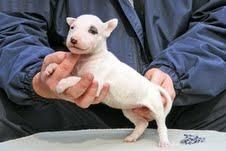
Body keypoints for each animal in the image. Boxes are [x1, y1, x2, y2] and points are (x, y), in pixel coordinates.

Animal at [46, 14, 173, 147]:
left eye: (93, 31)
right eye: (72, 27)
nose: (73, 40)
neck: (88, 58)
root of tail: (153, 86)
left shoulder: (95, 82)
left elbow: (75, 78)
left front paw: (62, 84)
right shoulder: (77, 71)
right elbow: (70, 73)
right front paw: (51, 67)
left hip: (156, 108)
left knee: (161, 125)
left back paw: (164, 141)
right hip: (128, 109)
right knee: (142, 123)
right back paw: (132, 137)